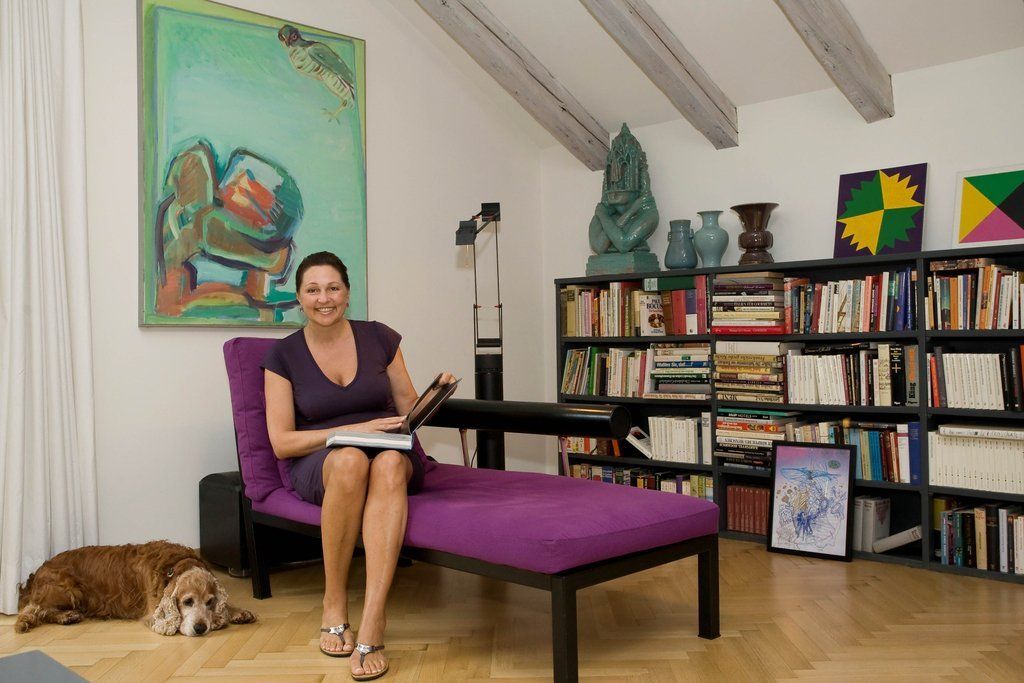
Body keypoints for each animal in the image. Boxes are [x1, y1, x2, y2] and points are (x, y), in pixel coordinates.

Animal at [15, 541, 257, 636]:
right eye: (187, 601)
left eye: (210, 601)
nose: (200, 628)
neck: (173, 567)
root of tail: (37, 572)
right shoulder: (153, 613)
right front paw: (217, 620)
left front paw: (237, 612)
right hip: (69, 589)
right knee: (34, 610)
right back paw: (64, 616)